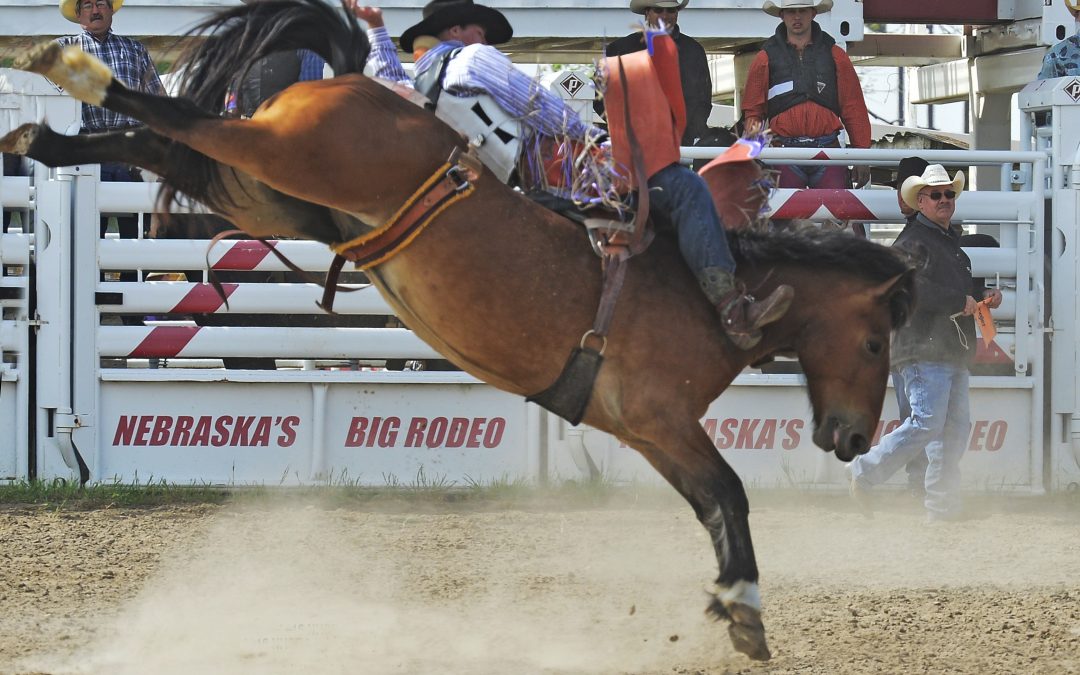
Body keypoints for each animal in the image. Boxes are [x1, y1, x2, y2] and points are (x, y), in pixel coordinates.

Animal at [4, 0, 915, 660]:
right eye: (876, 343)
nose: (853, 437)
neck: (700, 288)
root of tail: (356, 81)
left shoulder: (647, 429)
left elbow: (713, 503)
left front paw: (736, 604)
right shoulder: (664, 416)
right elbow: (730, 492)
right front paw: (746, 605)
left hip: (270, 193)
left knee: (168, 143)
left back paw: (42, 131)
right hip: (283, 154)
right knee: (177, 118)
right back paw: (68, 70)